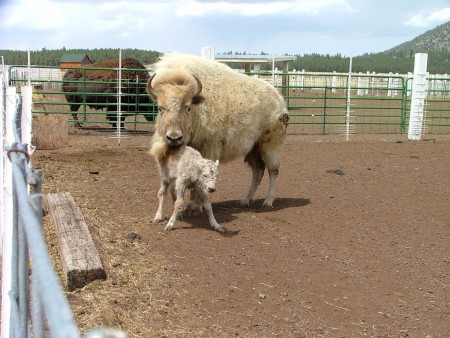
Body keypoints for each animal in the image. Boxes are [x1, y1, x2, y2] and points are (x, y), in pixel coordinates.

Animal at [148, 52, 288, 209]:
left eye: (187, 107)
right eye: (160, 108)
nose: (173, 138)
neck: (198, 108)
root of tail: (280, 100)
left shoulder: (209, 148)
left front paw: (196, 205)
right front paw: (192, 204)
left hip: (270, 146)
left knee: (273, 171)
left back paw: (268, 202)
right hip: (254, 149)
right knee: (258, 171)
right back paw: (246, 200)